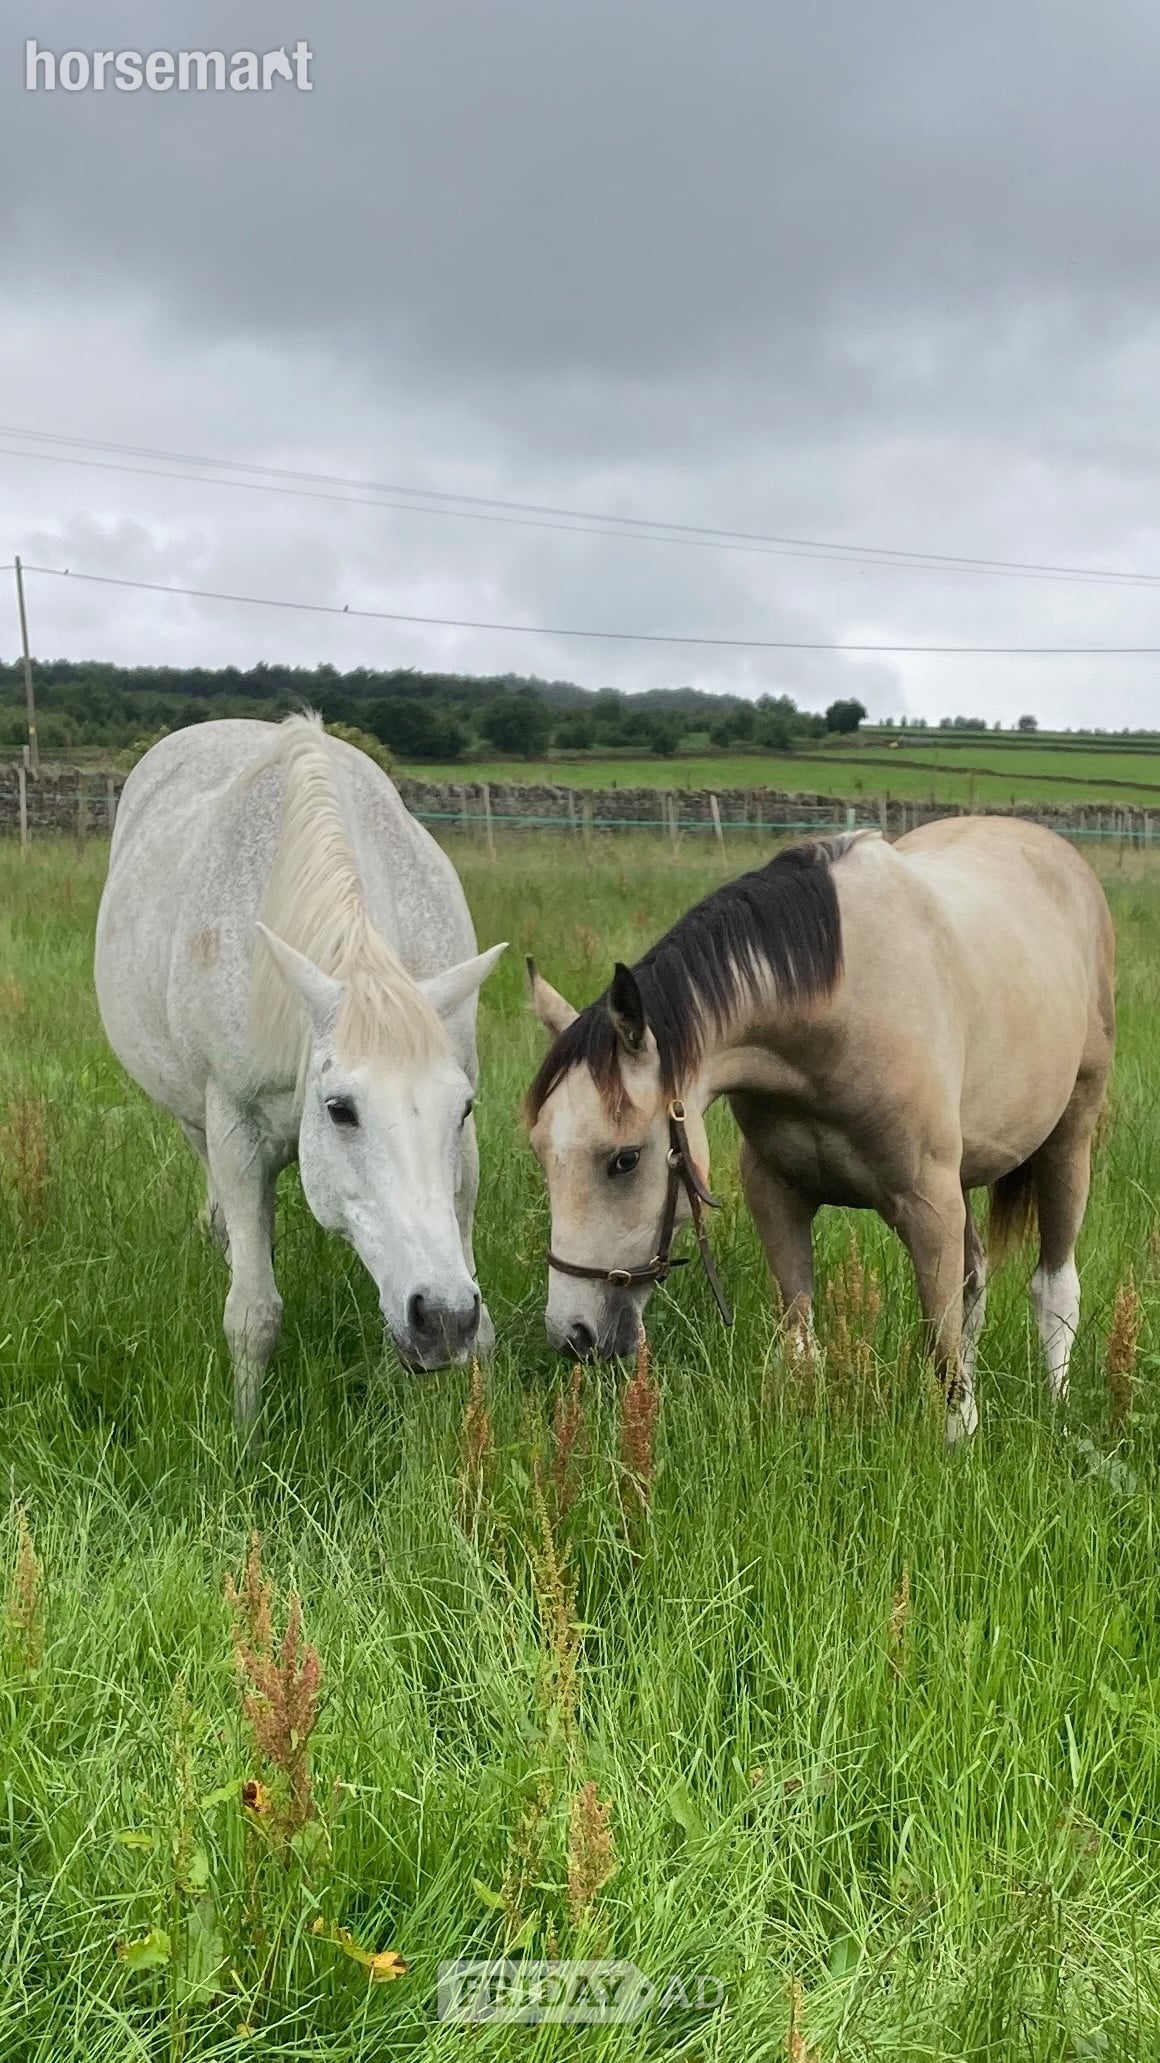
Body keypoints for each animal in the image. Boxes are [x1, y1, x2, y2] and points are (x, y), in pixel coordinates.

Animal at [95, 713, 506, 1430]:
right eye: (340, 1109)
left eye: (463, 1110)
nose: (442, 1317)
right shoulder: (233, 1130)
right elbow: (253, 1315)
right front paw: (245, 1438)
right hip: (195, 1120)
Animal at [525, 818, 1114, 1439]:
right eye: (540, 1151)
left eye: (625, 1159)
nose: (573, 1334)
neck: (838, 1013)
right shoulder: (778, 1194)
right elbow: (804, 1346)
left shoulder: (928, 1206)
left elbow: (944, 1350)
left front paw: (961, 1437)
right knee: (975, 1277)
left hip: (1068, 1139)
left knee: (1053, 1286)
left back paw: (1057, 1406)